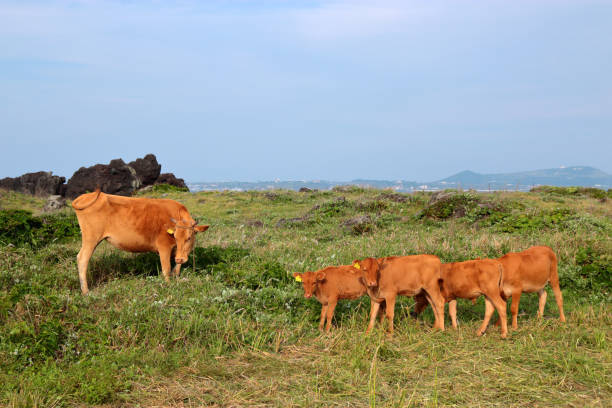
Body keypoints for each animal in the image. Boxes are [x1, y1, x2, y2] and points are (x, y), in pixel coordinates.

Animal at [71, 190, 209, 294]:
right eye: (175, 236)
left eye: (189, 238)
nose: (180, 258)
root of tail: (86, 196)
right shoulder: (163, 247)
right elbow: (166, 269)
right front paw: (168, 286)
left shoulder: (178, 251)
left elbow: (177, 267)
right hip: (91, 238)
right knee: (82, 259)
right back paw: (86, 291)